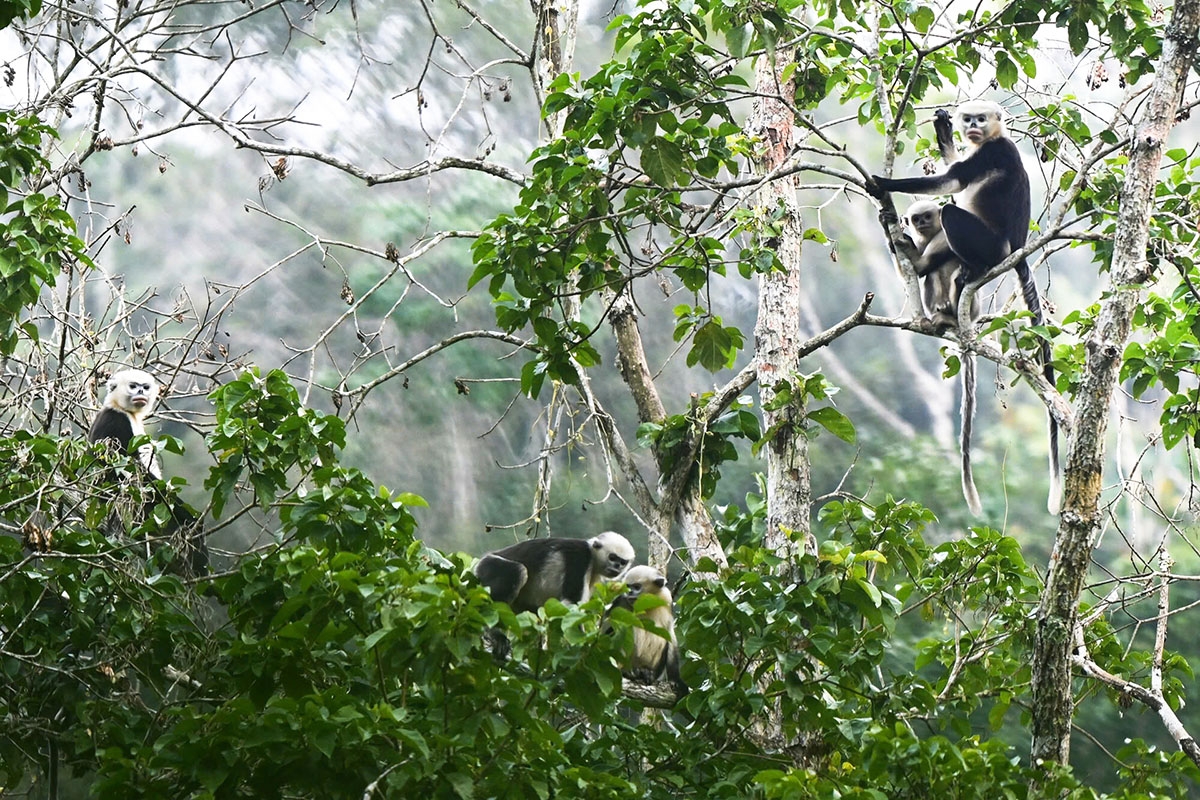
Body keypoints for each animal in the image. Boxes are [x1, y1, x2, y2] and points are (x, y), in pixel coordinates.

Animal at [605, 565, 686, 696]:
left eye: (637, 587)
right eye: (628, 587)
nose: (630, 592)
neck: (645, 604)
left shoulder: (667, 599)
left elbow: (669, 635)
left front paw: (675, 680)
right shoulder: (620, 601)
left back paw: (647, 673)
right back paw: (628, 672)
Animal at [870, 100, 1061, 513]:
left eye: (981, 120)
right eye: (969, 119)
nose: (971, 125)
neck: (993, 139)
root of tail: (1016, 249)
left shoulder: (991, 153)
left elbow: (954, 182)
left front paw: (880, 183)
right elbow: (954, 172)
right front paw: (944, 132)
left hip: (989, 246)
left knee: (950, 214)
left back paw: (971, 270)